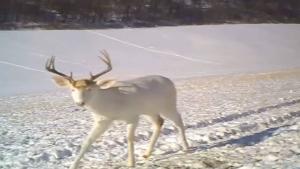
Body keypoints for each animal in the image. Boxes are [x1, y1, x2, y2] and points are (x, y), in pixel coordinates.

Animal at [44, 50, 189, 169]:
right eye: (72, 89)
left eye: (90, 89)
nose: (80, 102)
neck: (111, 106)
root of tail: (169, 81)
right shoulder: (102, 120)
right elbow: (87, 141)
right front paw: (73, 165)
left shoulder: (132, 116)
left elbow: (129, 138)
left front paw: (131, 163)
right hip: (149, 110)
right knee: (159, 122)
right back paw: (147, 154)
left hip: (168, 104)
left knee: (178, 119)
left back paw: (186, 147)